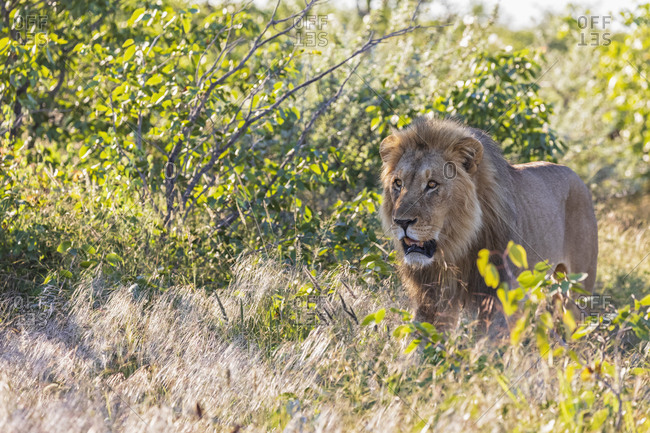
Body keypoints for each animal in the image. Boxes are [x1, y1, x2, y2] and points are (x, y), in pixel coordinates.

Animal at [379, 116, 598, 331]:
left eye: (432, 184)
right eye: (398, 183)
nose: (401, 222)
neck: (456, 247)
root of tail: (576, 176)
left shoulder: (499, 298)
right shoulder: (432, 298)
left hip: (579, 286)